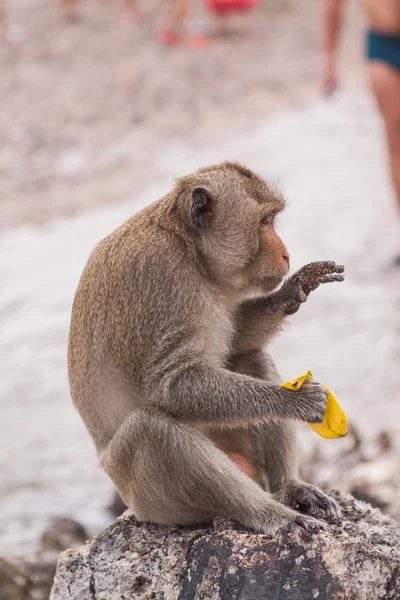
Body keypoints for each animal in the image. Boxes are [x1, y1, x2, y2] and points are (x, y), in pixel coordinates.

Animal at [68, 161, 344, 540]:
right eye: (264, 222)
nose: (286, 253)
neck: (189, 249)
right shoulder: (167, 282)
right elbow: (171, 384)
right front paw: (295, 400)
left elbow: (237, 339)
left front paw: (295, 288)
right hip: (149, 499)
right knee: (151, 430)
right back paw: (271, 513)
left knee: (252, 356)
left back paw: (289, 488)